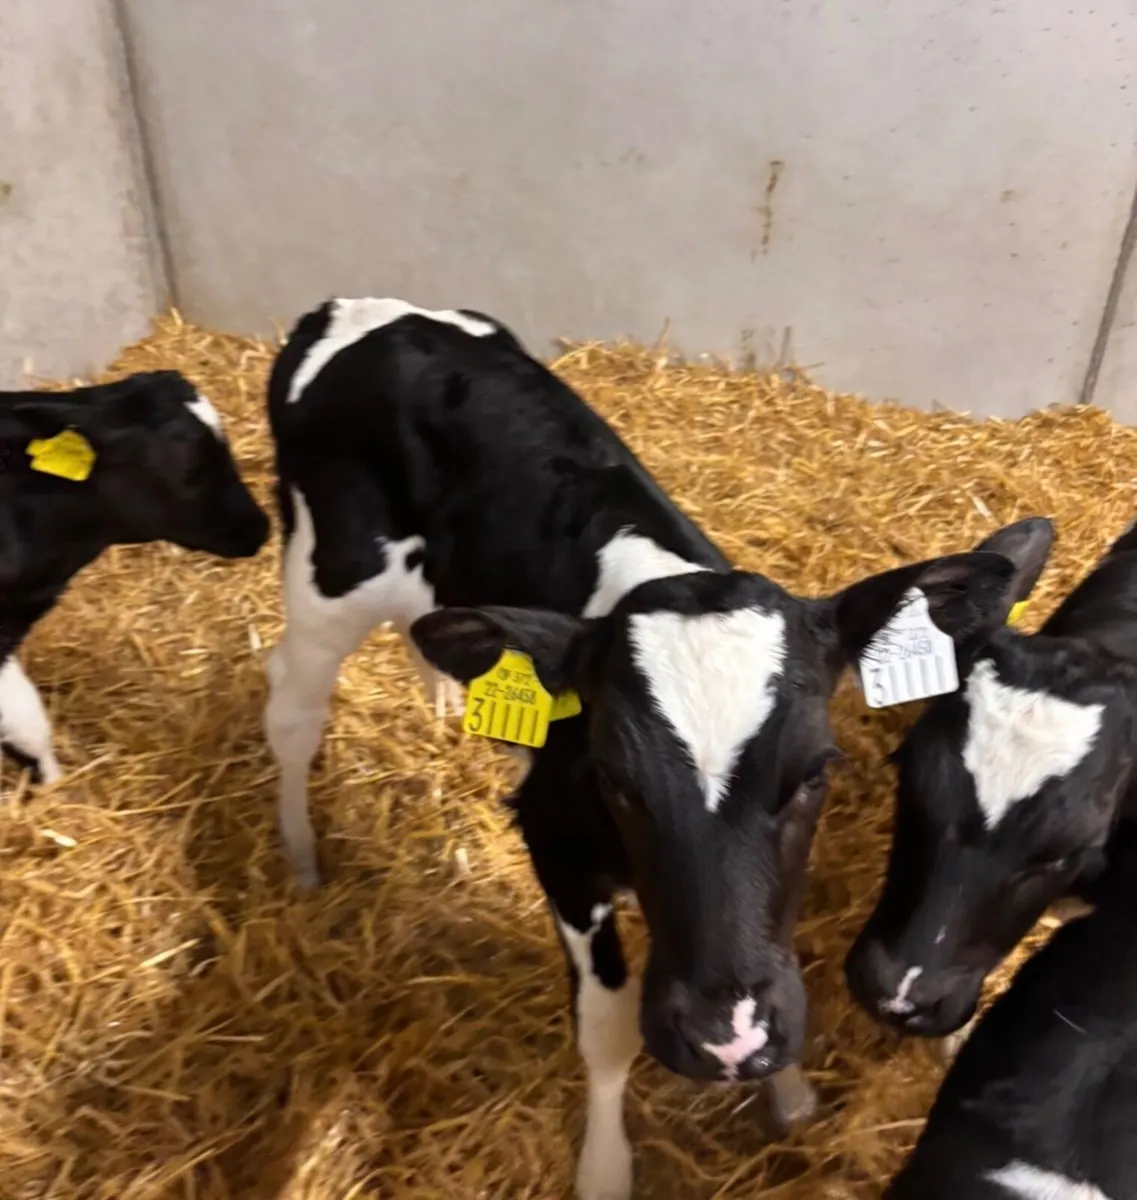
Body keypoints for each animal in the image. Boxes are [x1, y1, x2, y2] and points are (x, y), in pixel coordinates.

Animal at [261, 296, 1019, 1200]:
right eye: (615, 778)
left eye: (813, 773)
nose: (725, 1036)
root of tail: (359, 308)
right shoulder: (555, 845)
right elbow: (608, 1027)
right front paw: (605, 1170)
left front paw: (784, 1087)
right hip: (326, 581)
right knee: (291, 707)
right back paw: (301, 860)